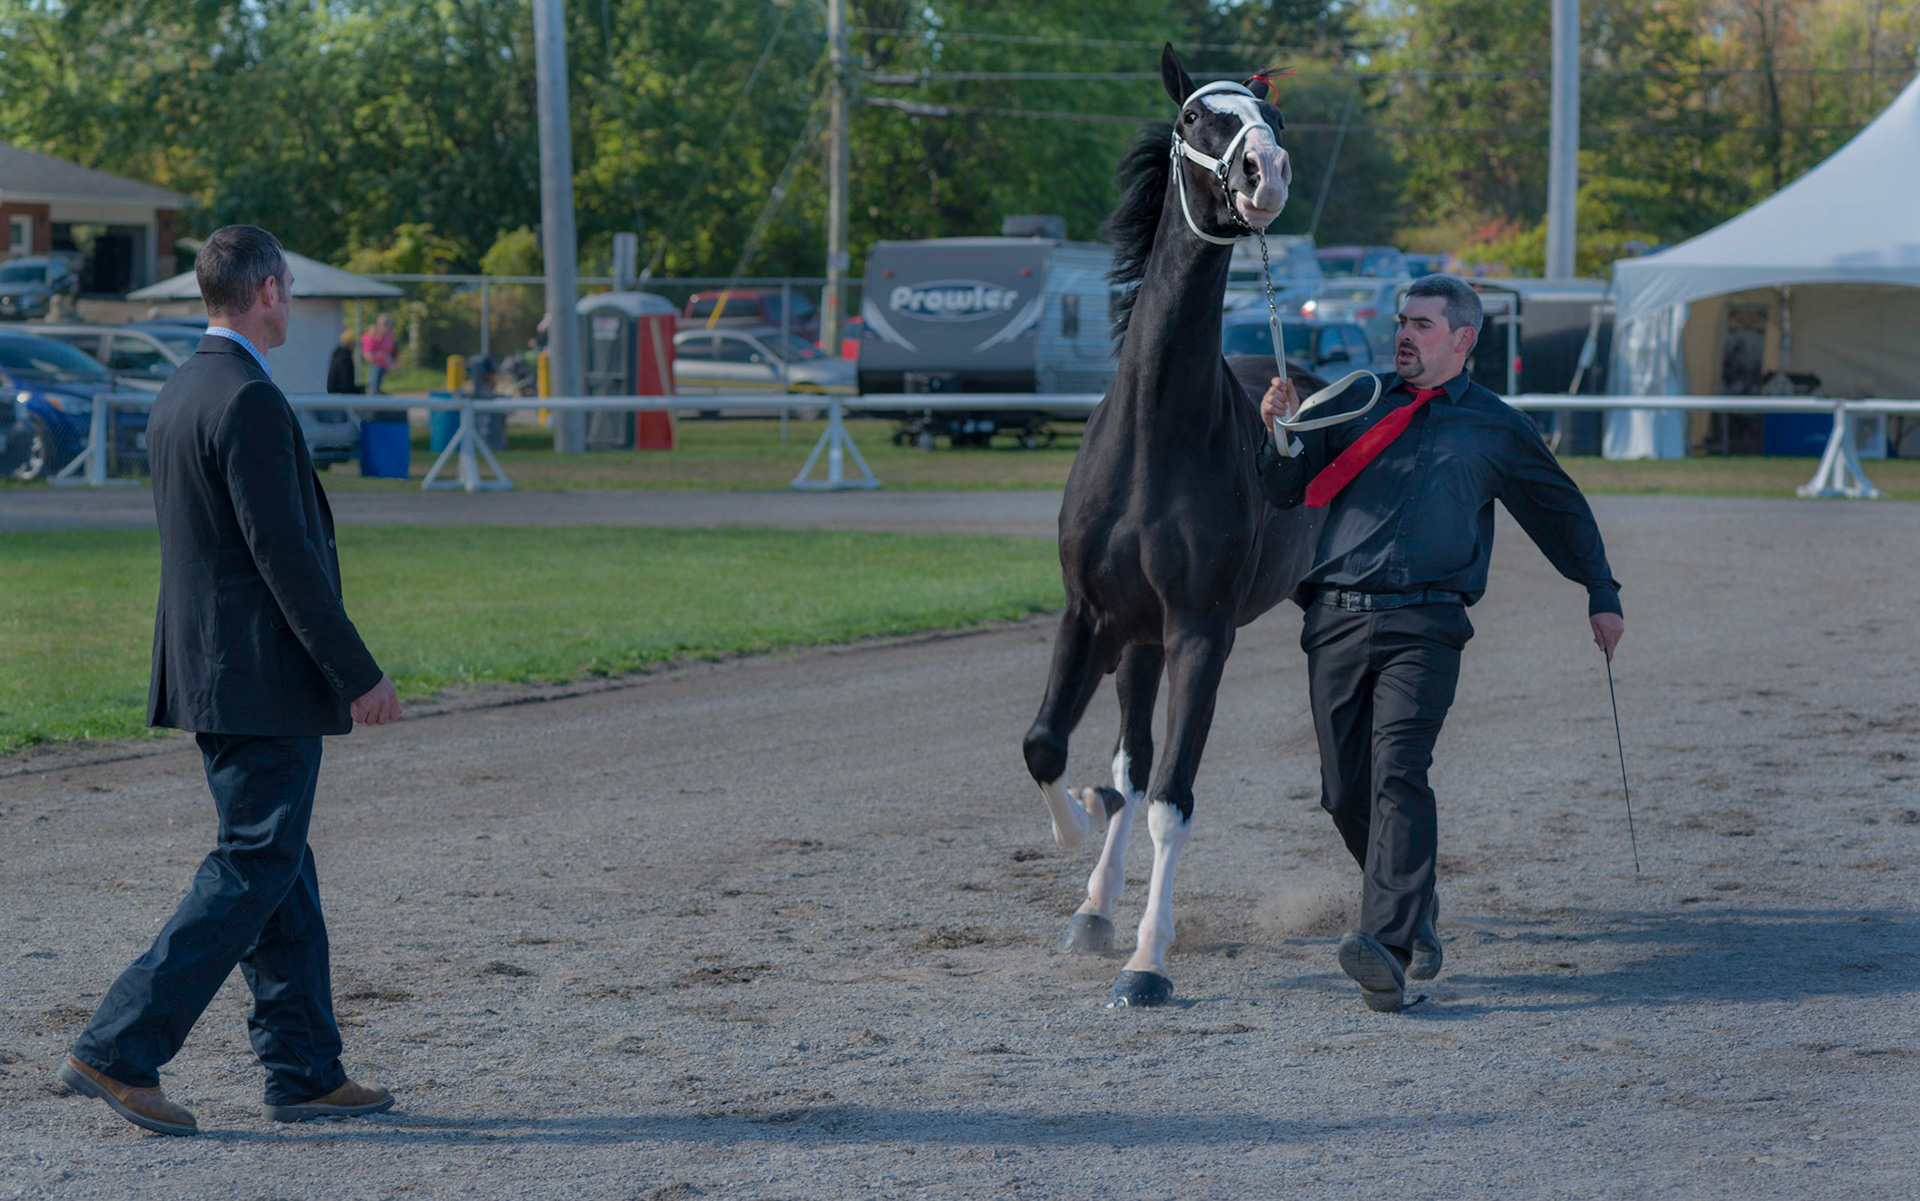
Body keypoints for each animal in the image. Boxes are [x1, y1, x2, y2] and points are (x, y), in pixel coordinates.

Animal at [1020, 44, 1331, 1008]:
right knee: (1126, 757)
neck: (1154, 436)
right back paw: (1092, 903)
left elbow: (1171, 798)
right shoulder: (1093, 615)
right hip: (1138, 640)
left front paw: (1147, 963)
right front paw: (1081, 841)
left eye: (1274, 117)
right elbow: (1053, 749)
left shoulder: (1200, 631)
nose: (1267, 172)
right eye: (1199, 116)